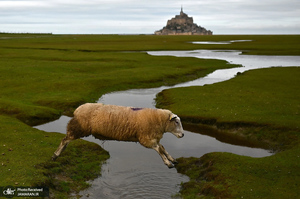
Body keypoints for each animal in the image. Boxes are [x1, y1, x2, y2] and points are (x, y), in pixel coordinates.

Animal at [52, 103, 184, 167]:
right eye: (176, 122)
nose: (182, 135)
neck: (158, 120)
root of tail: (77, 109)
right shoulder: (146, 138)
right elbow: (159, 150)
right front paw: (168, 163)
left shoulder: (153, 137)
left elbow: (162, 148)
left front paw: (172, 159)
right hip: (78, 128)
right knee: (65, 140)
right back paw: (56, 155)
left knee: (66, 140)